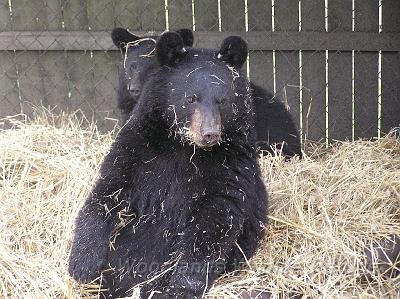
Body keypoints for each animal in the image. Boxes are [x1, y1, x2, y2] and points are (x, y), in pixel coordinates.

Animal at [69, 31, 268, 298]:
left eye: (222, 100)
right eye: (191, 98)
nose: (210, 134)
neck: (185, 147)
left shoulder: (232, 166)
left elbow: (214, 223)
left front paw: (180, 287)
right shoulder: (138, 149)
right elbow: (109, 188)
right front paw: (82, 263)